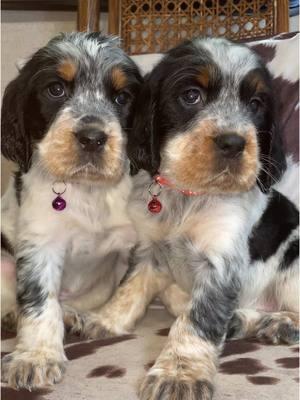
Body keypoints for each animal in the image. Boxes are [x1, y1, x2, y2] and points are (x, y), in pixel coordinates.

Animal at [0, 32, 142, 390]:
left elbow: (131, 286)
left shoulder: (136, 242)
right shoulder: (40, 242)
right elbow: (39, 301)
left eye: (122, 97)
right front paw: (35, 357)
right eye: (55, 89)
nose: (92, 138)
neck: (87, 189)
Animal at [63, 36, 300, 398]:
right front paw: (103, 321)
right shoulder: (148, 251)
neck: (189, 195)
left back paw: (280, 323)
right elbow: (129, 289)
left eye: (256, 103)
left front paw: (179, 374)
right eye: (191, 96)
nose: (234, 143)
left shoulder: (220, 264)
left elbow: (195, 321)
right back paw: (247, 322)